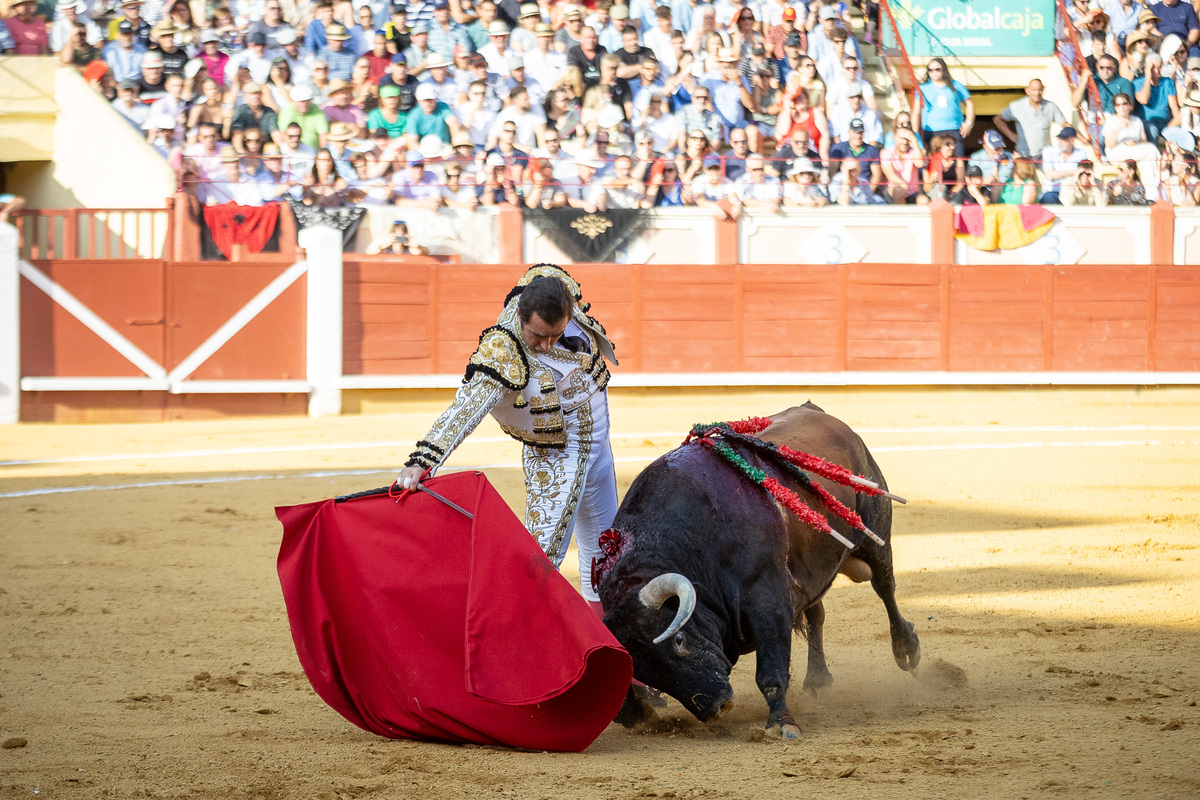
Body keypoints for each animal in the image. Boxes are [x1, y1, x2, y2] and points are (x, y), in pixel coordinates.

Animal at [597, 400, 916, 738]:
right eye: (645, 671)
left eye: (679, 639)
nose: (716, 706)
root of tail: (820, 412)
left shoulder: (768, 603)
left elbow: (771, 672)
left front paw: (782, 723)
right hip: (810, 573)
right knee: (816, 614)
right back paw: (818, 680)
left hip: (876, 534)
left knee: (885, 586)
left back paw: (907, 649)